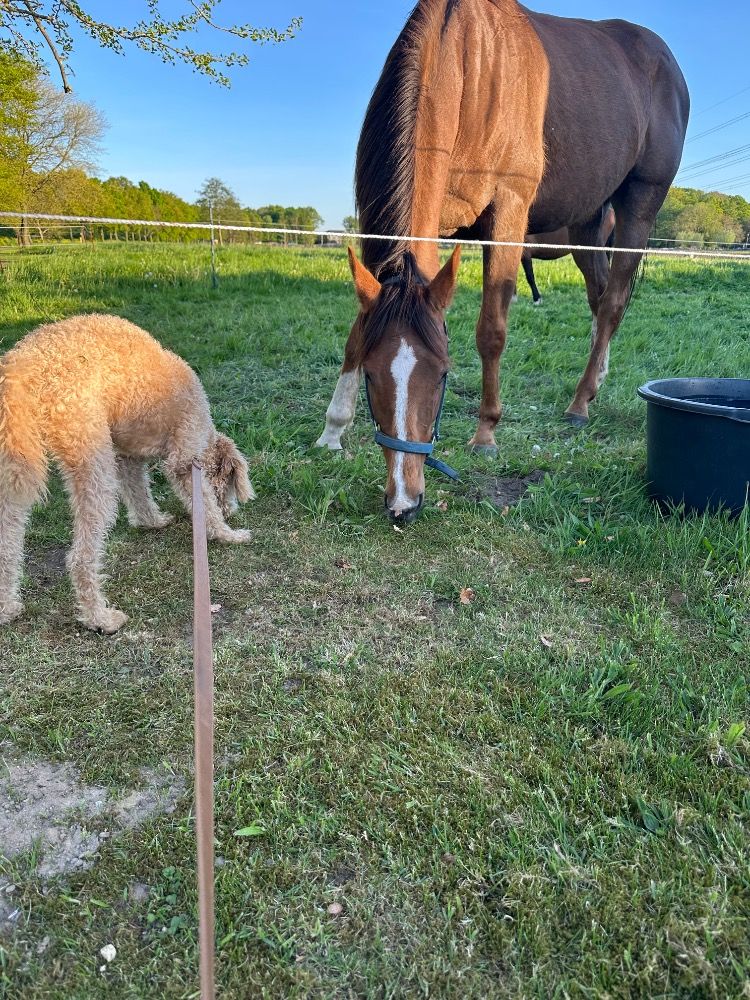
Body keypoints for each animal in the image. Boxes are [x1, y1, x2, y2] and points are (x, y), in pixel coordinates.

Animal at [316, 0, 689, 523]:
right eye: (371, 376)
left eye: (444, 374)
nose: (404, 501)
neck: (467, 64)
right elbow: (357, 331)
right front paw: (332, 429)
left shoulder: (509, 211)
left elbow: (491, 329)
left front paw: (486, 433)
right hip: (587, 223)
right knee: (599, 303)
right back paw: (595, 382)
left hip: (640, 203)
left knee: (614, 303)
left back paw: (579, 404)